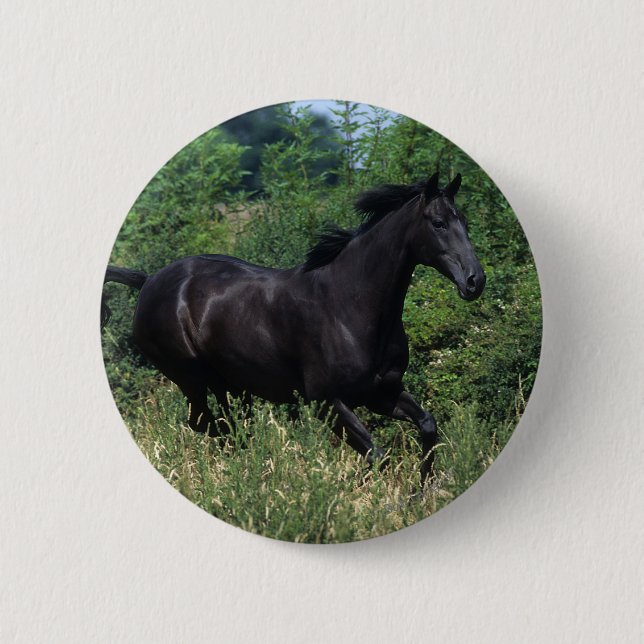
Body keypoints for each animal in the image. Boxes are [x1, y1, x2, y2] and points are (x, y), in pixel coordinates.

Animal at [102, 172, 485, 485]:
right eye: (438, 223)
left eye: (465, 221)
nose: (475, 280)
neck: (348, 305)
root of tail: (150, 281)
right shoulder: (327, 402)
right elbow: (376, 455)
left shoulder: (382, 392)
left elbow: (427, 426)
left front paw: (419, 494)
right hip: (189, 377)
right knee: (207, 425)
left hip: (229, 384)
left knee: (231, 428)